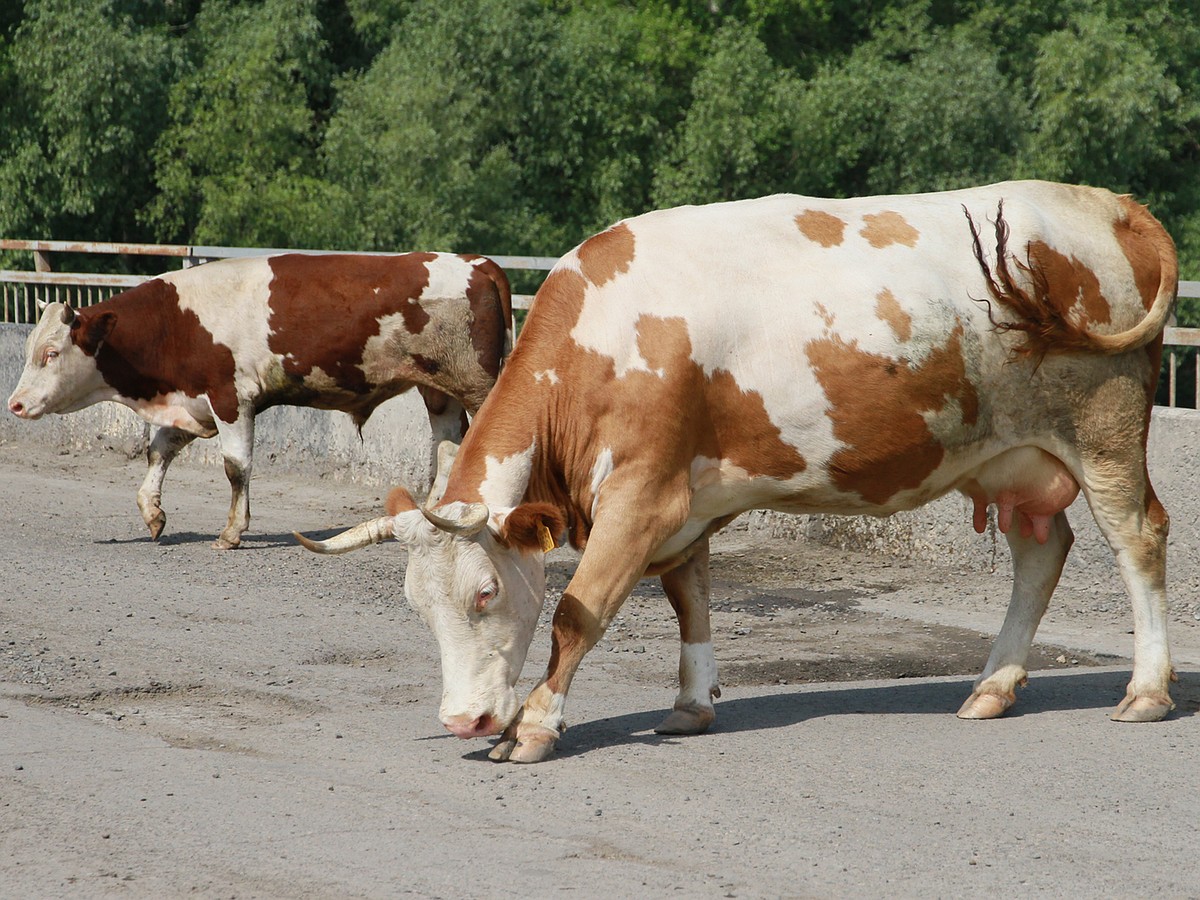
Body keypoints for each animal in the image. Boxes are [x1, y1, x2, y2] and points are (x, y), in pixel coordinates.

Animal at [11, 252, 513, 549]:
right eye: (32, 346)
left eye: (50, 352)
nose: (14, 404)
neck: (177, 321)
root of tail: (478, 262)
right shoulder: (192, 402)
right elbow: (159, 451)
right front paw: (152, 512)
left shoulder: (231, 397)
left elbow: (236, 467)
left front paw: (232, 531)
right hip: (439, 391)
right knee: (448, 447)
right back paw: (438, 514)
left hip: (477, 384)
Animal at [295, 181, 1176, 763]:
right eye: (417, 605)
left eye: (484, 593)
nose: (464, 723)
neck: (603, 339)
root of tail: (1100, 200)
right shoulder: (686, 499)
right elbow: (690, 598)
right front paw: (689, 706)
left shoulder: (641, 496)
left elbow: (579, 612)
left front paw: (536, 723)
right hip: (1010, 456)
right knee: (1041, 552)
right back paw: (993, 686)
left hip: (1103, 427)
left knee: (1138, 539)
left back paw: (1146, 690)